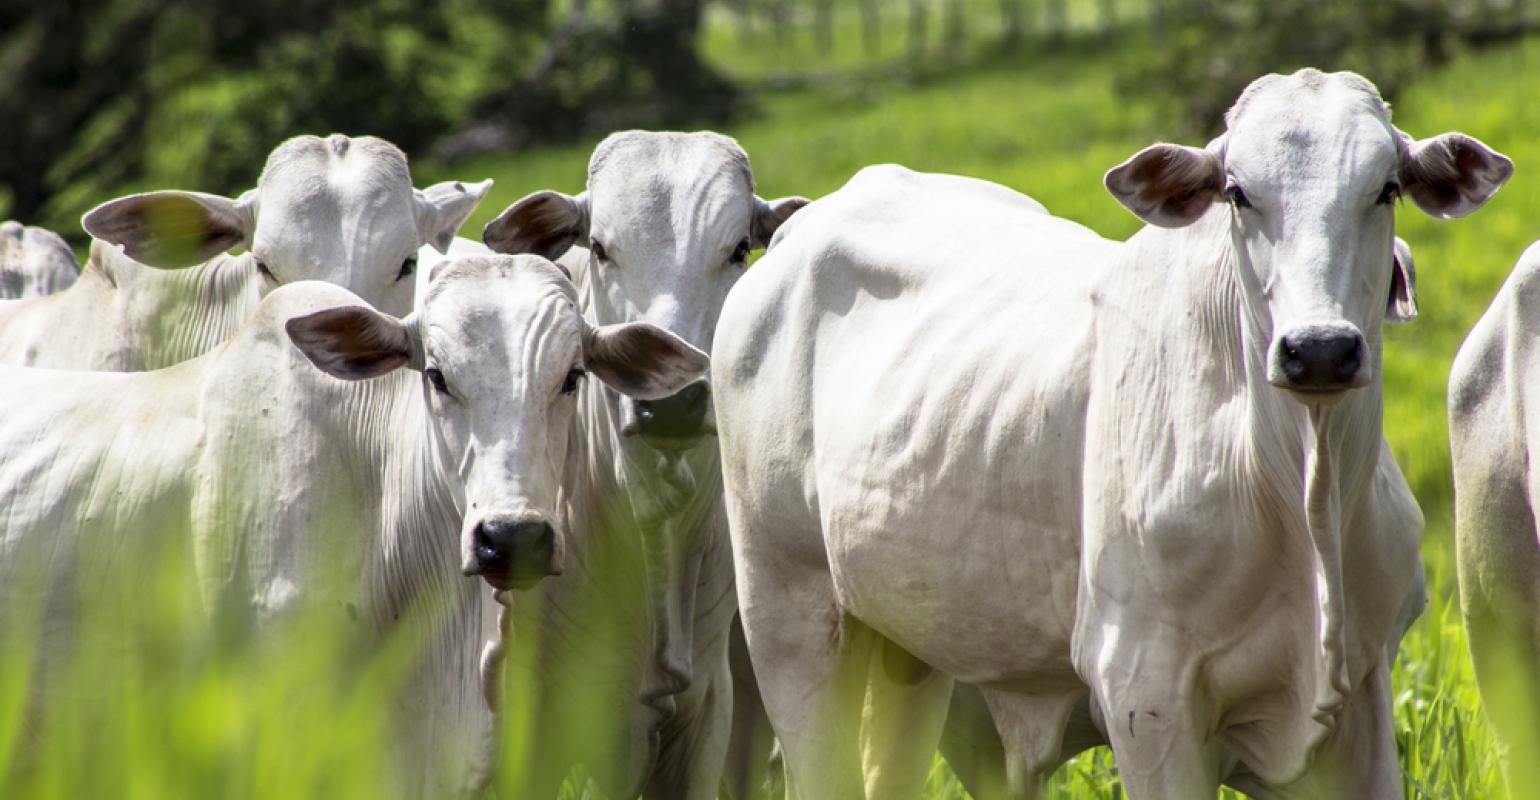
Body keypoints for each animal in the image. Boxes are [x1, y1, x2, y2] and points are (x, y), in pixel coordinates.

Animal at [714, 70, 1509, 800]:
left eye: (1386, 189)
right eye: (1238, 193)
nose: (1318, 350)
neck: (1298, 493)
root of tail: (803, 227)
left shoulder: (1365, 692)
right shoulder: (1145, 697)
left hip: (909, 648)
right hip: (789, 617)